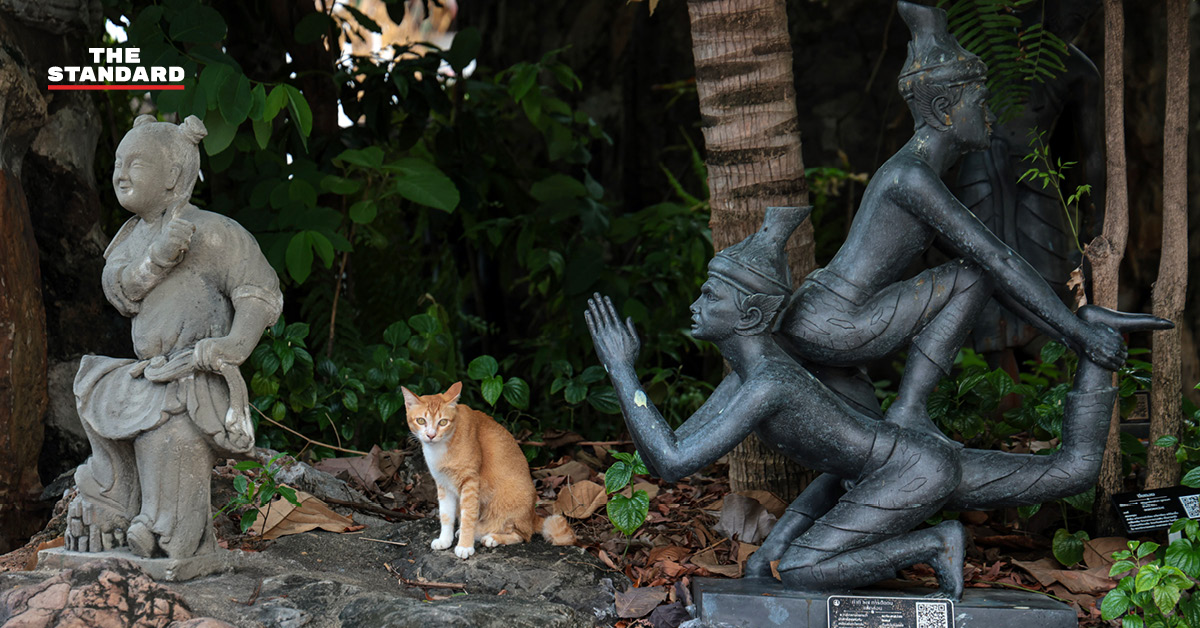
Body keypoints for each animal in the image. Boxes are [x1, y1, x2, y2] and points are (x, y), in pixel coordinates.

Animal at [403, 381, 576, 557]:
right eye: (421, 421)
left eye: (443, 422)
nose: (431, 435)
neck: (440, 449)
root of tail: (532, 516)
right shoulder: (444, 484)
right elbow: (446, 516)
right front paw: (445, 539)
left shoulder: (470, 483)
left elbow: (468, 516)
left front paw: (465, 546)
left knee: (522, 535)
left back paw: (492, 538)